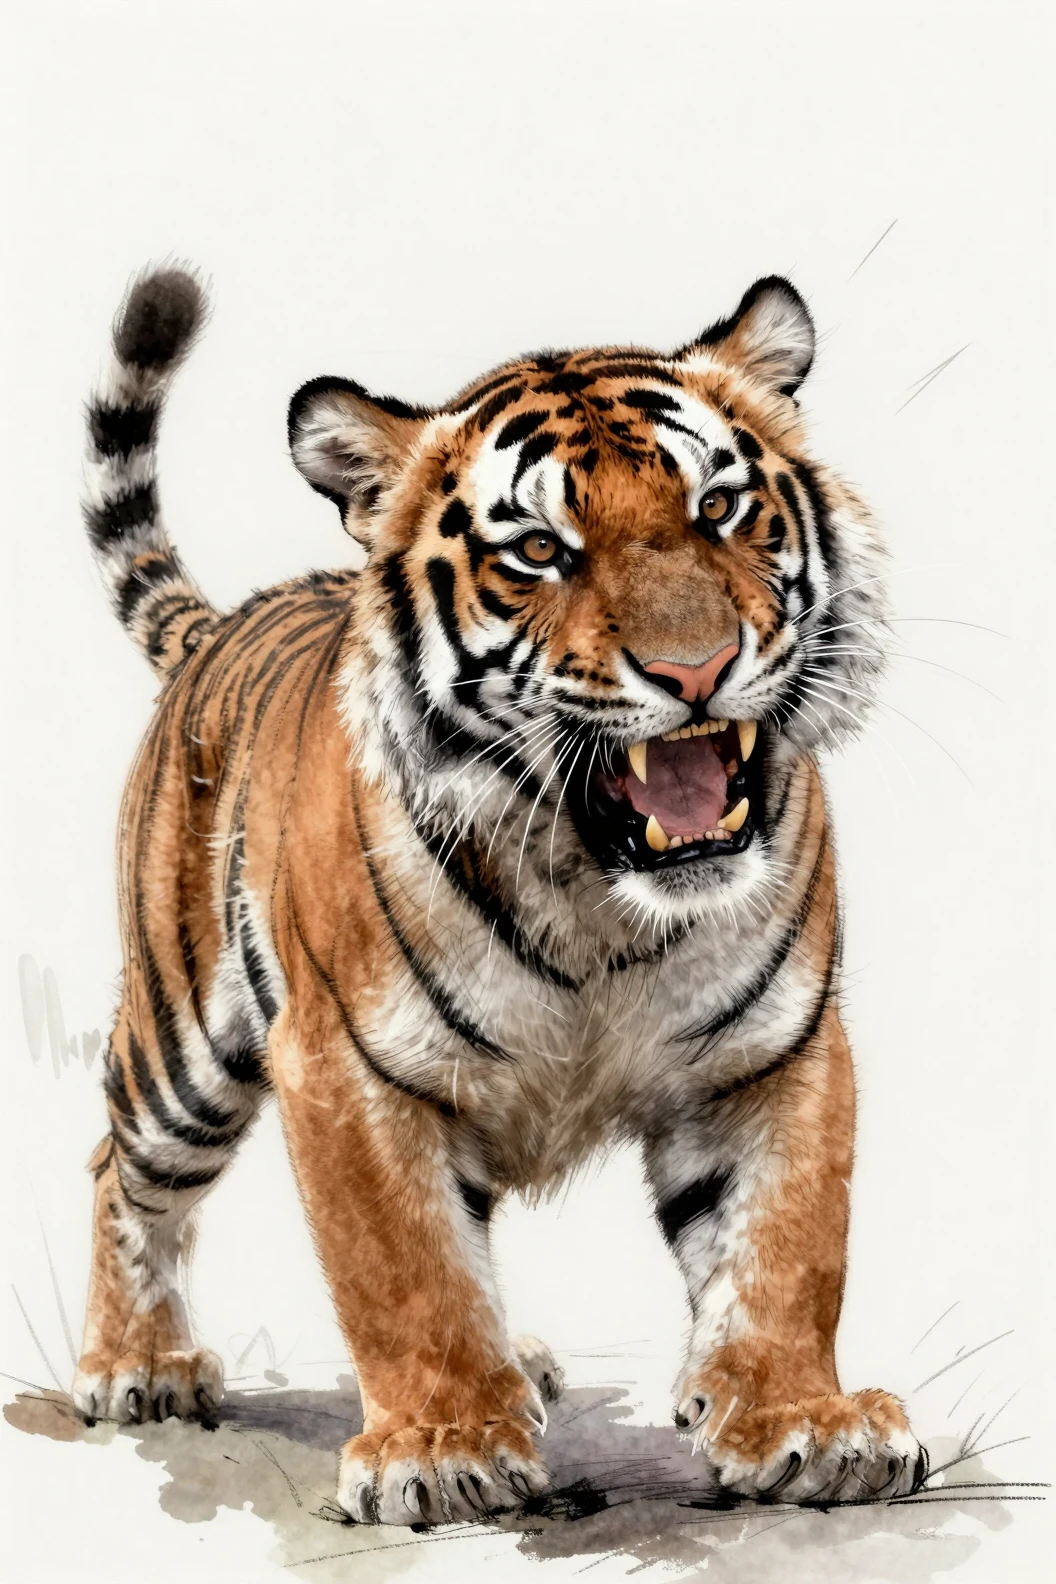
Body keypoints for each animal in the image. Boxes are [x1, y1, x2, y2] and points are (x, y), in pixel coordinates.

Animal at [71, 264, 926, 1525]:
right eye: (536, 550)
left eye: (720, 507)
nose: (695, 670)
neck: (602, 899)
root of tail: (225, 622)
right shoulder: (349, 1070)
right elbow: (405, 1271)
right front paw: (441, 1448)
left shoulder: (774, 1051)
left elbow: (784, 1247)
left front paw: (802, 1422)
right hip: (184, 1048)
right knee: (121, 1169)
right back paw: (138, 1363)